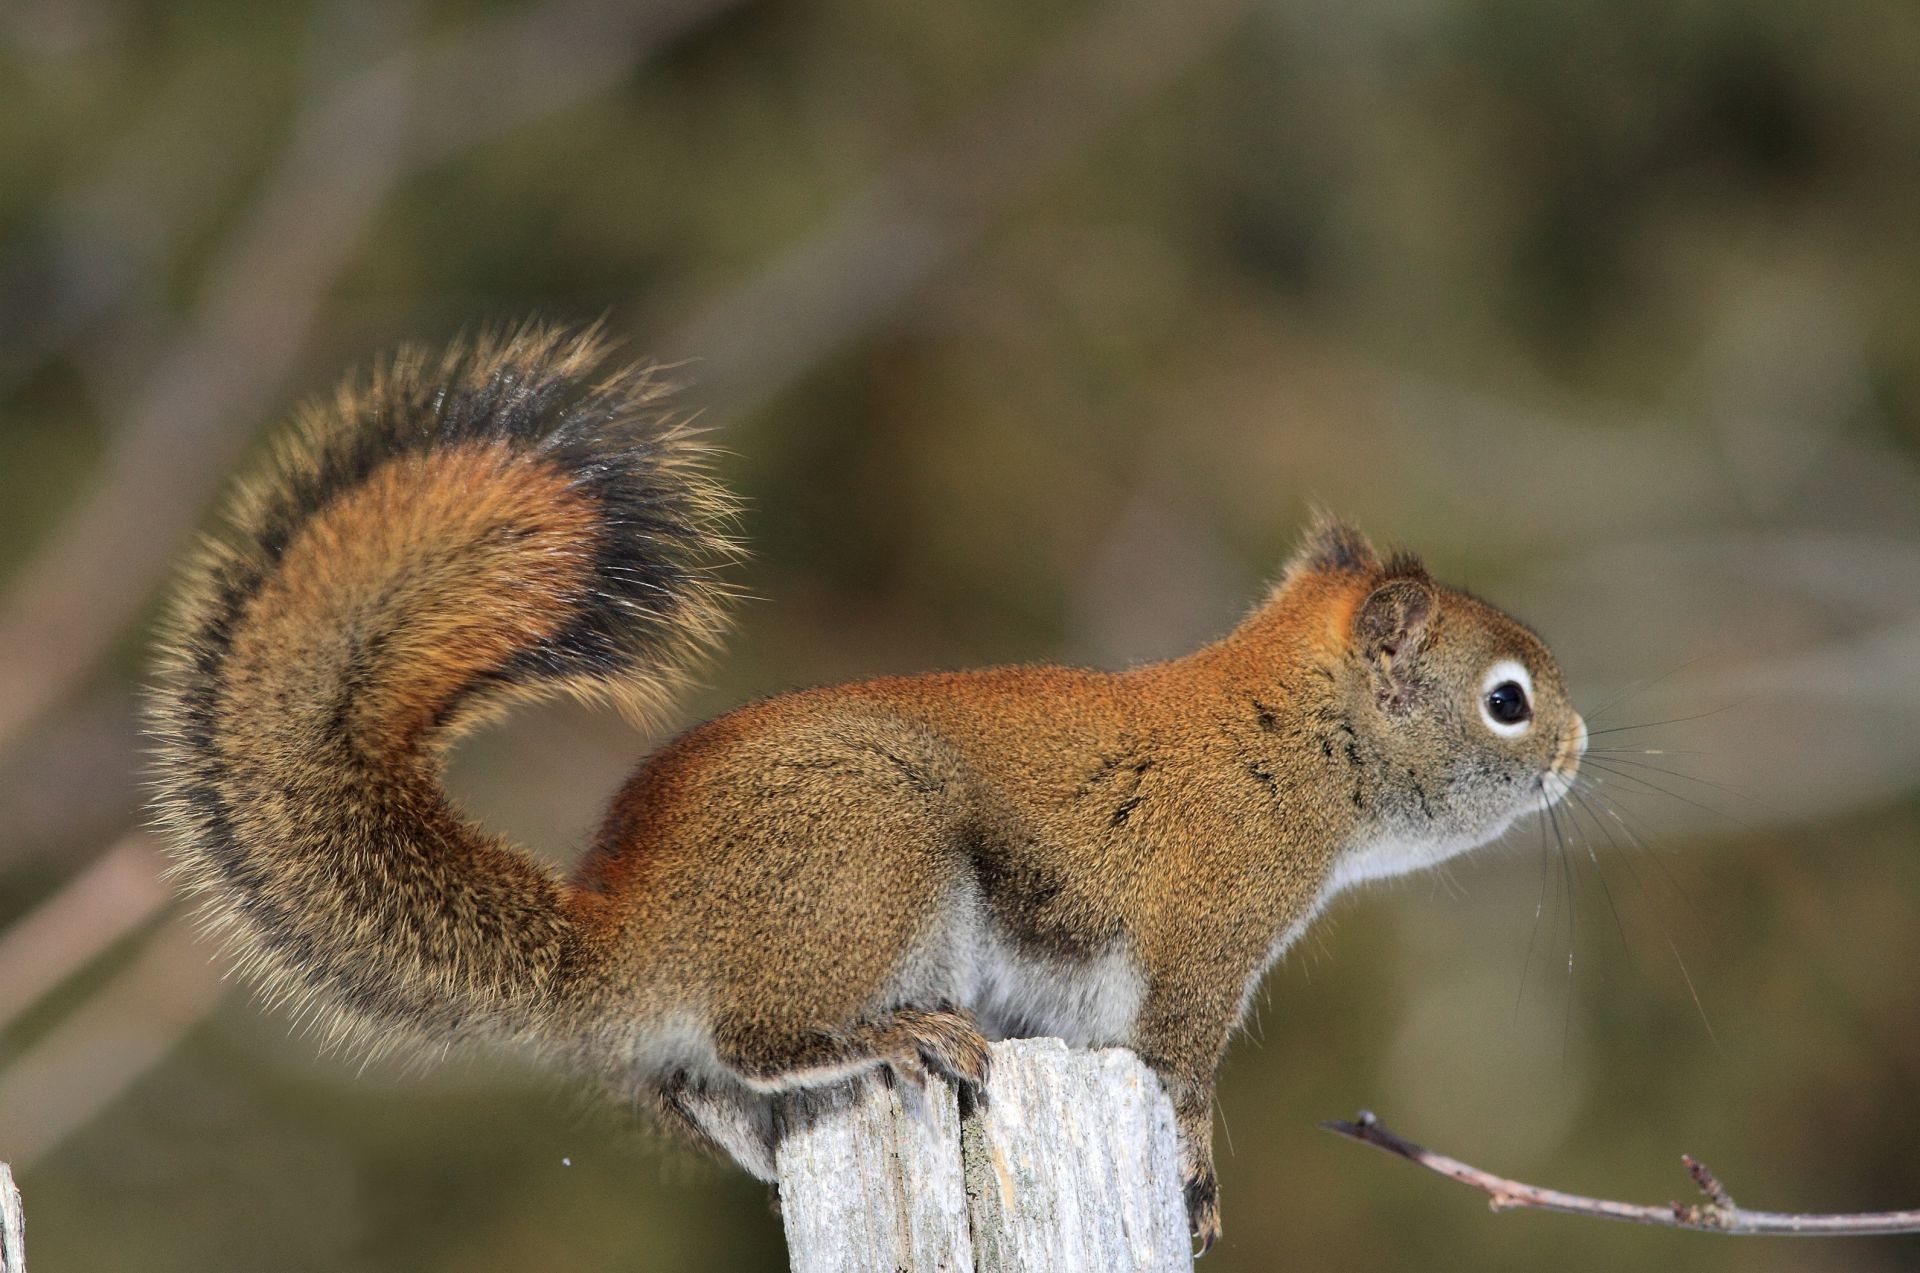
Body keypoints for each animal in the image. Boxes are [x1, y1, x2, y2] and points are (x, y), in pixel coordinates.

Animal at [149, 324, 1589, 1251]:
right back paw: (893, 1036)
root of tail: (628, 938)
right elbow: (1178, 1072)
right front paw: (1196, 1177)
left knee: (708, 1085)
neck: (1285, 738)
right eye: (1506, 700)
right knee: (758, 1035)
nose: (1579, 748)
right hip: (873, 861)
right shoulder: (1203, 929)